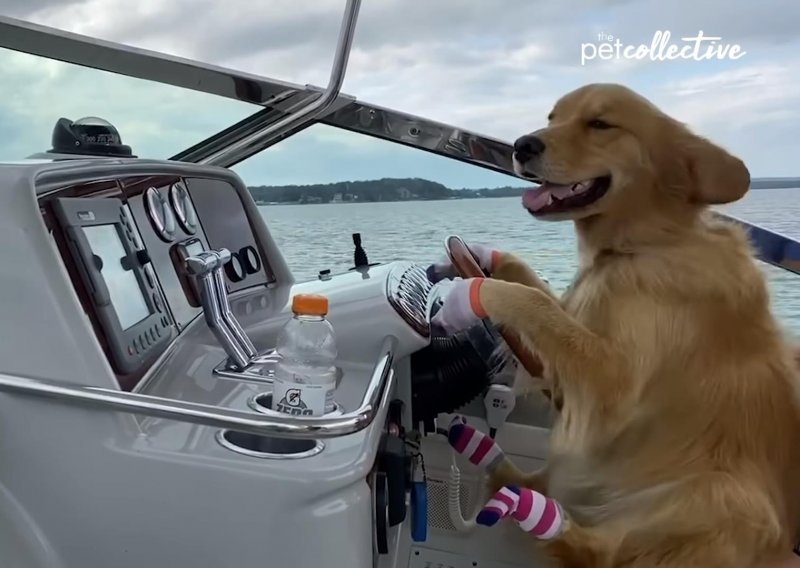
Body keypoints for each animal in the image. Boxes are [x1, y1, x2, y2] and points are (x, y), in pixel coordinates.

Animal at [468, 82, 800, 564]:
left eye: (600, 124)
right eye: (552, 117)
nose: (522, 145)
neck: (641, 245)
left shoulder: (614, 382)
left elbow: (533, 300)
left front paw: (478, 288)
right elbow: (535, 288)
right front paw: (481, 258)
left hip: (722, 492)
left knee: (597, 551)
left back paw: (537, 514)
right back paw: (497, 467)